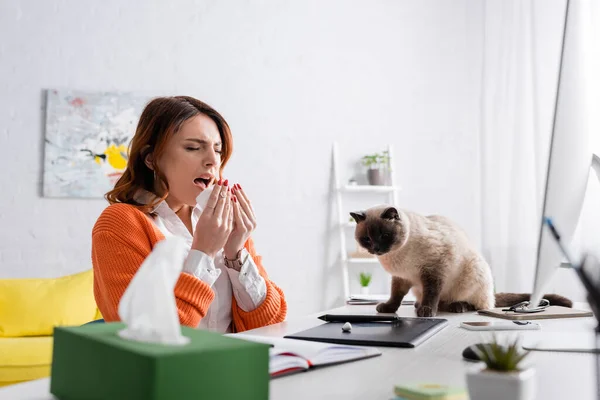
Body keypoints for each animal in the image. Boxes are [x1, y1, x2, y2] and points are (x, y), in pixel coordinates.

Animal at [352, 205, 572, 318]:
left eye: (384, 235)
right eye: (367, 239)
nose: (376, 249)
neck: (396, 256)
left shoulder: (433, 271)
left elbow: (431, 294)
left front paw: (427, 312)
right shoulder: (402, 277)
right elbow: (395, 297)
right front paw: (387, 309)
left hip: (473, 275)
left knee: (481, 305)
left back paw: (456, 306)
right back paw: (419, 305)